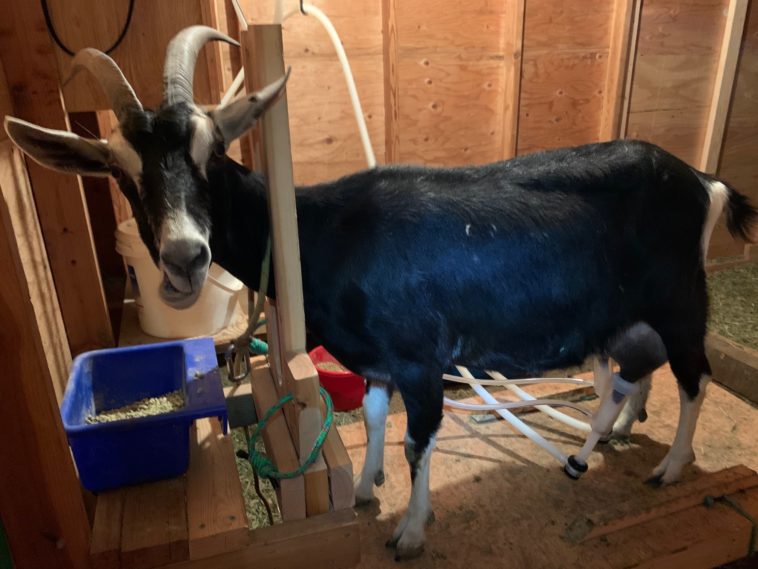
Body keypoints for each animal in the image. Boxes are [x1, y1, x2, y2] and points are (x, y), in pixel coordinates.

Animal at [6, 26, 757, 561]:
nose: (186, 256)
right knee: (638, 372)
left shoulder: (421, 360)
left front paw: (411, 532)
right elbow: (370, 419)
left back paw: (670, 469)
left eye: (212, 150)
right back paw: (611, 437)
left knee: (695, 377)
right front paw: (366, 490)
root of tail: (702, 179)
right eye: (119, 170)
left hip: (681, 300)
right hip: (631, 316)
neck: (324, 230)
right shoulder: (374, 362)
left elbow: (417, 443)